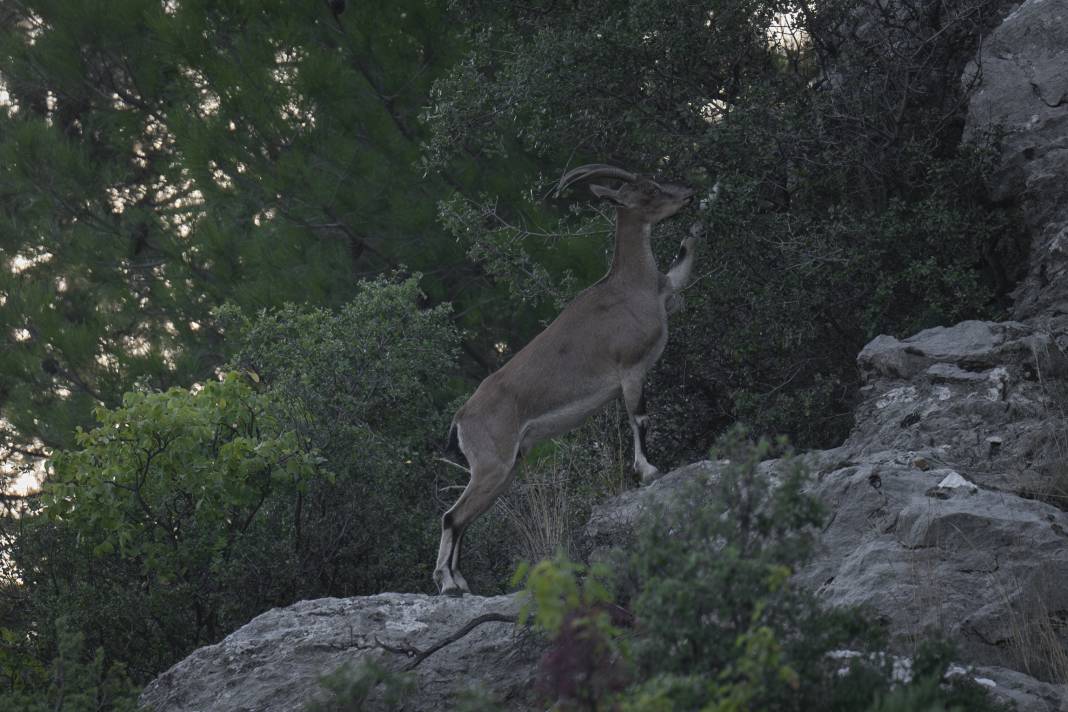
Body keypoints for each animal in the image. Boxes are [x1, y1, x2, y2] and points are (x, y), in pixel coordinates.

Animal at [429, 164, 704, 593]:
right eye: (648, 190)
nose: (688, 193)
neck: (632, 287)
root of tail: (460, 419)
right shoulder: (630, 369)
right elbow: (638, 417)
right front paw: (649, 470)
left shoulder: (666, 290)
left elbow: (684, 256)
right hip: (492, 466)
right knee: (451, 517)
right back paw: (449, 584)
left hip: (502, 471)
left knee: (462, 519)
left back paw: (460, 582)